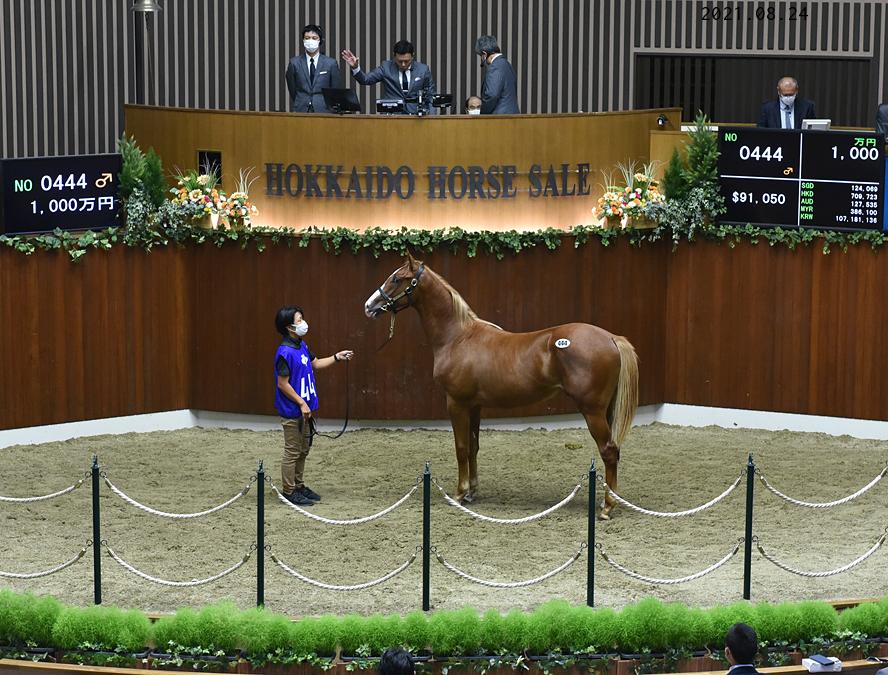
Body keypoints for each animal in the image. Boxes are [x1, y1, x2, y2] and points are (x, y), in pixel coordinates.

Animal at [363, 254, 639, 519]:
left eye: (397, 279)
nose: (369, 306)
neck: (457, 337)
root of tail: (611, 338)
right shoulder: (474, 406)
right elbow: (473, 447)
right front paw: (472, 492)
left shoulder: (456, 403)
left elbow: (461, 448)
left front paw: (459, 493)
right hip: (605, 410)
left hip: (592, 411)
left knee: (609, 451)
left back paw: (607, 507)